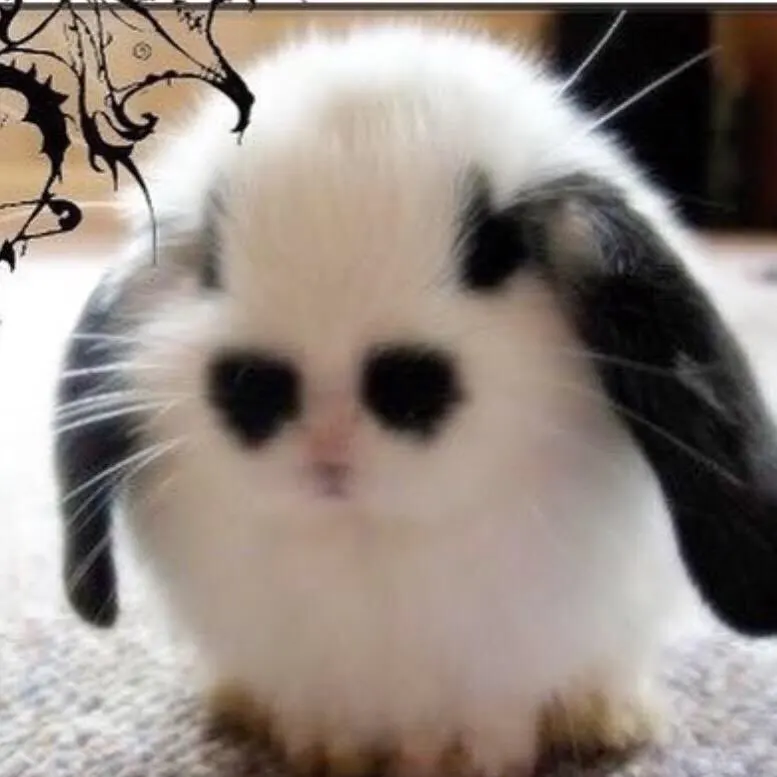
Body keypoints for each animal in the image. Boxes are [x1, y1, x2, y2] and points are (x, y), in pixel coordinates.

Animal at [54, 23, 777, 777]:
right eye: (211, 264)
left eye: (496, 249)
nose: (328, 425)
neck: (372, 535)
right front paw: (323, 752)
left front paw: (460, 759)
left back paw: (610, 719)